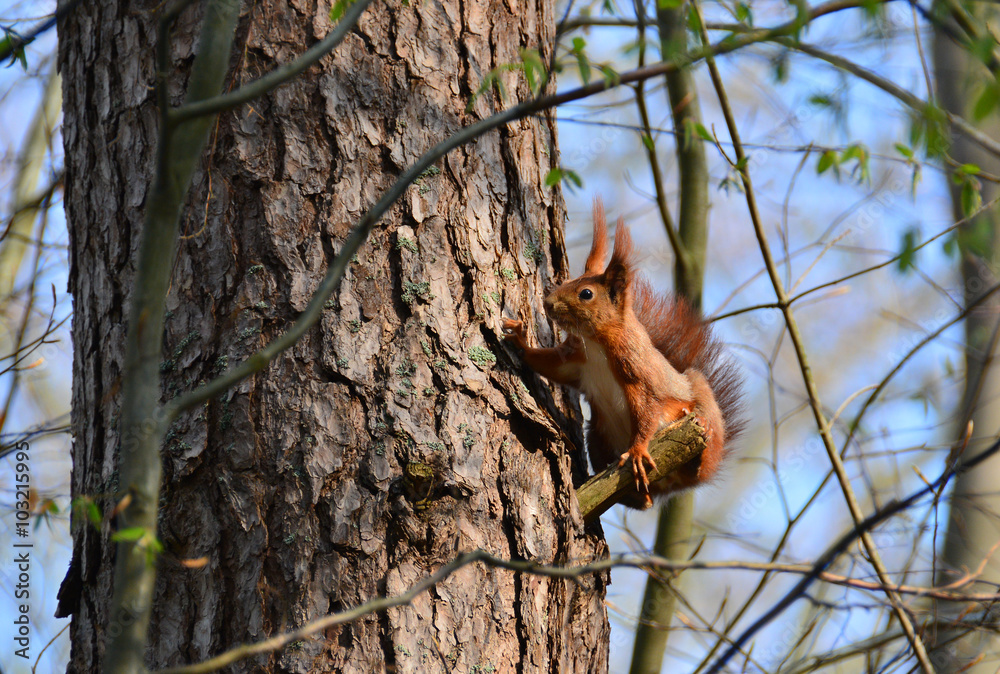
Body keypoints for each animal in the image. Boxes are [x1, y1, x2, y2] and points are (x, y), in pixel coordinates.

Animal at [503, 199, 744, 509]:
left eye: (586, 293)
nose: (548, 303)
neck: (596, 343)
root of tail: (669, 484)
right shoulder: (576, 363)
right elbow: (551, 366)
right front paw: (520, 341)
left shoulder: (636, 371)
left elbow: (647, 408)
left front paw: (638, 449)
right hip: (597, 436)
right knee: (642, 502)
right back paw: (637, 495)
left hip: (701, 406)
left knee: (700, 450)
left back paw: (696, 442)